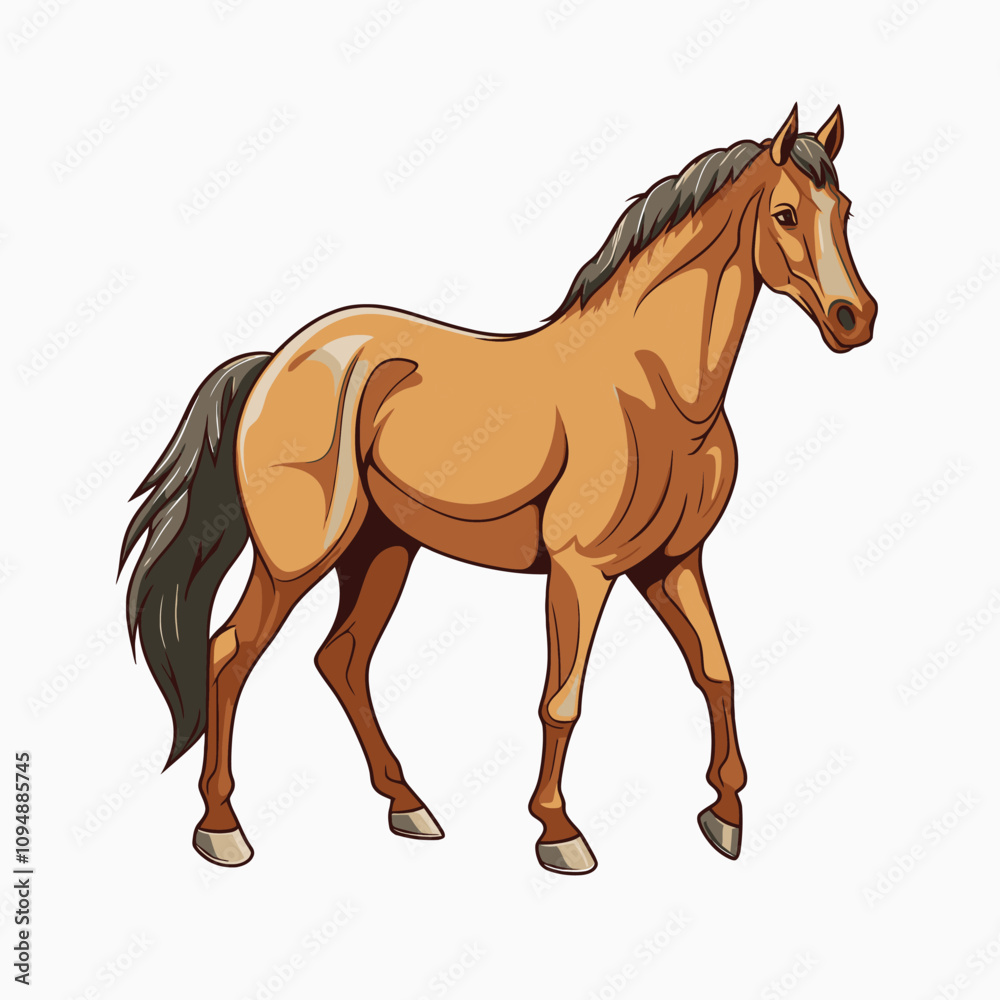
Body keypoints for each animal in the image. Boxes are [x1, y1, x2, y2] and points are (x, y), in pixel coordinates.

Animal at [120, 104, 876, 873]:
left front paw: (724, 816)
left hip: (382, 551)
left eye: (844, 208)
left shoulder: (671, 565)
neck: (655, 390)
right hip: (296, 562)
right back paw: (222, 828)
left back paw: (408, 806)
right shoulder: (581, 573)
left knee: (343, 660)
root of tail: (276, 360)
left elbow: (716, 672)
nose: (855, 319)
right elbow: (561, 699)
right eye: (784, 213)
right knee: (229, 654)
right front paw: (559, 833)